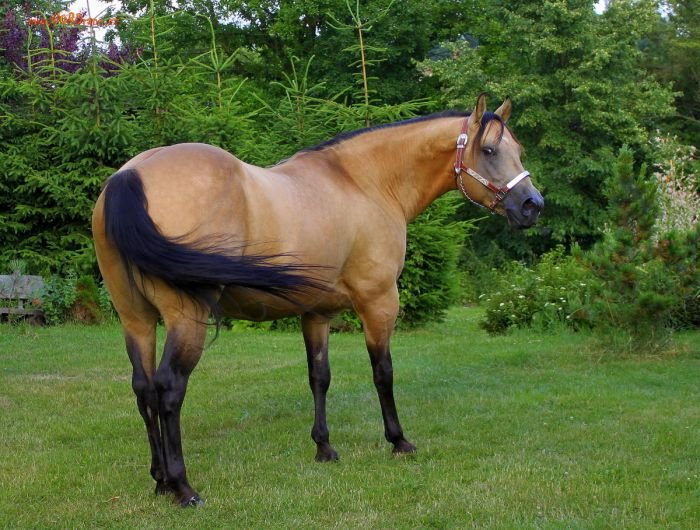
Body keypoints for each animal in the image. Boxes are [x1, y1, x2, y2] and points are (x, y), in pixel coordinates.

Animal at [92, 94, 543, 507]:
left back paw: (159, 480)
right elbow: (383, 373)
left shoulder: (316, 313)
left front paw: (324, 447)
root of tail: (130, 175)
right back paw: (183, 487)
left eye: (517, 150)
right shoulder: (379, 302)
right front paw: (398, 441)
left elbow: (319, 377)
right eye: (489, 150)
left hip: (136, 320)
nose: (532, 205)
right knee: (169, 389)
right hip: (187, 319)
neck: (363, 183)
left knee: (144, 388)